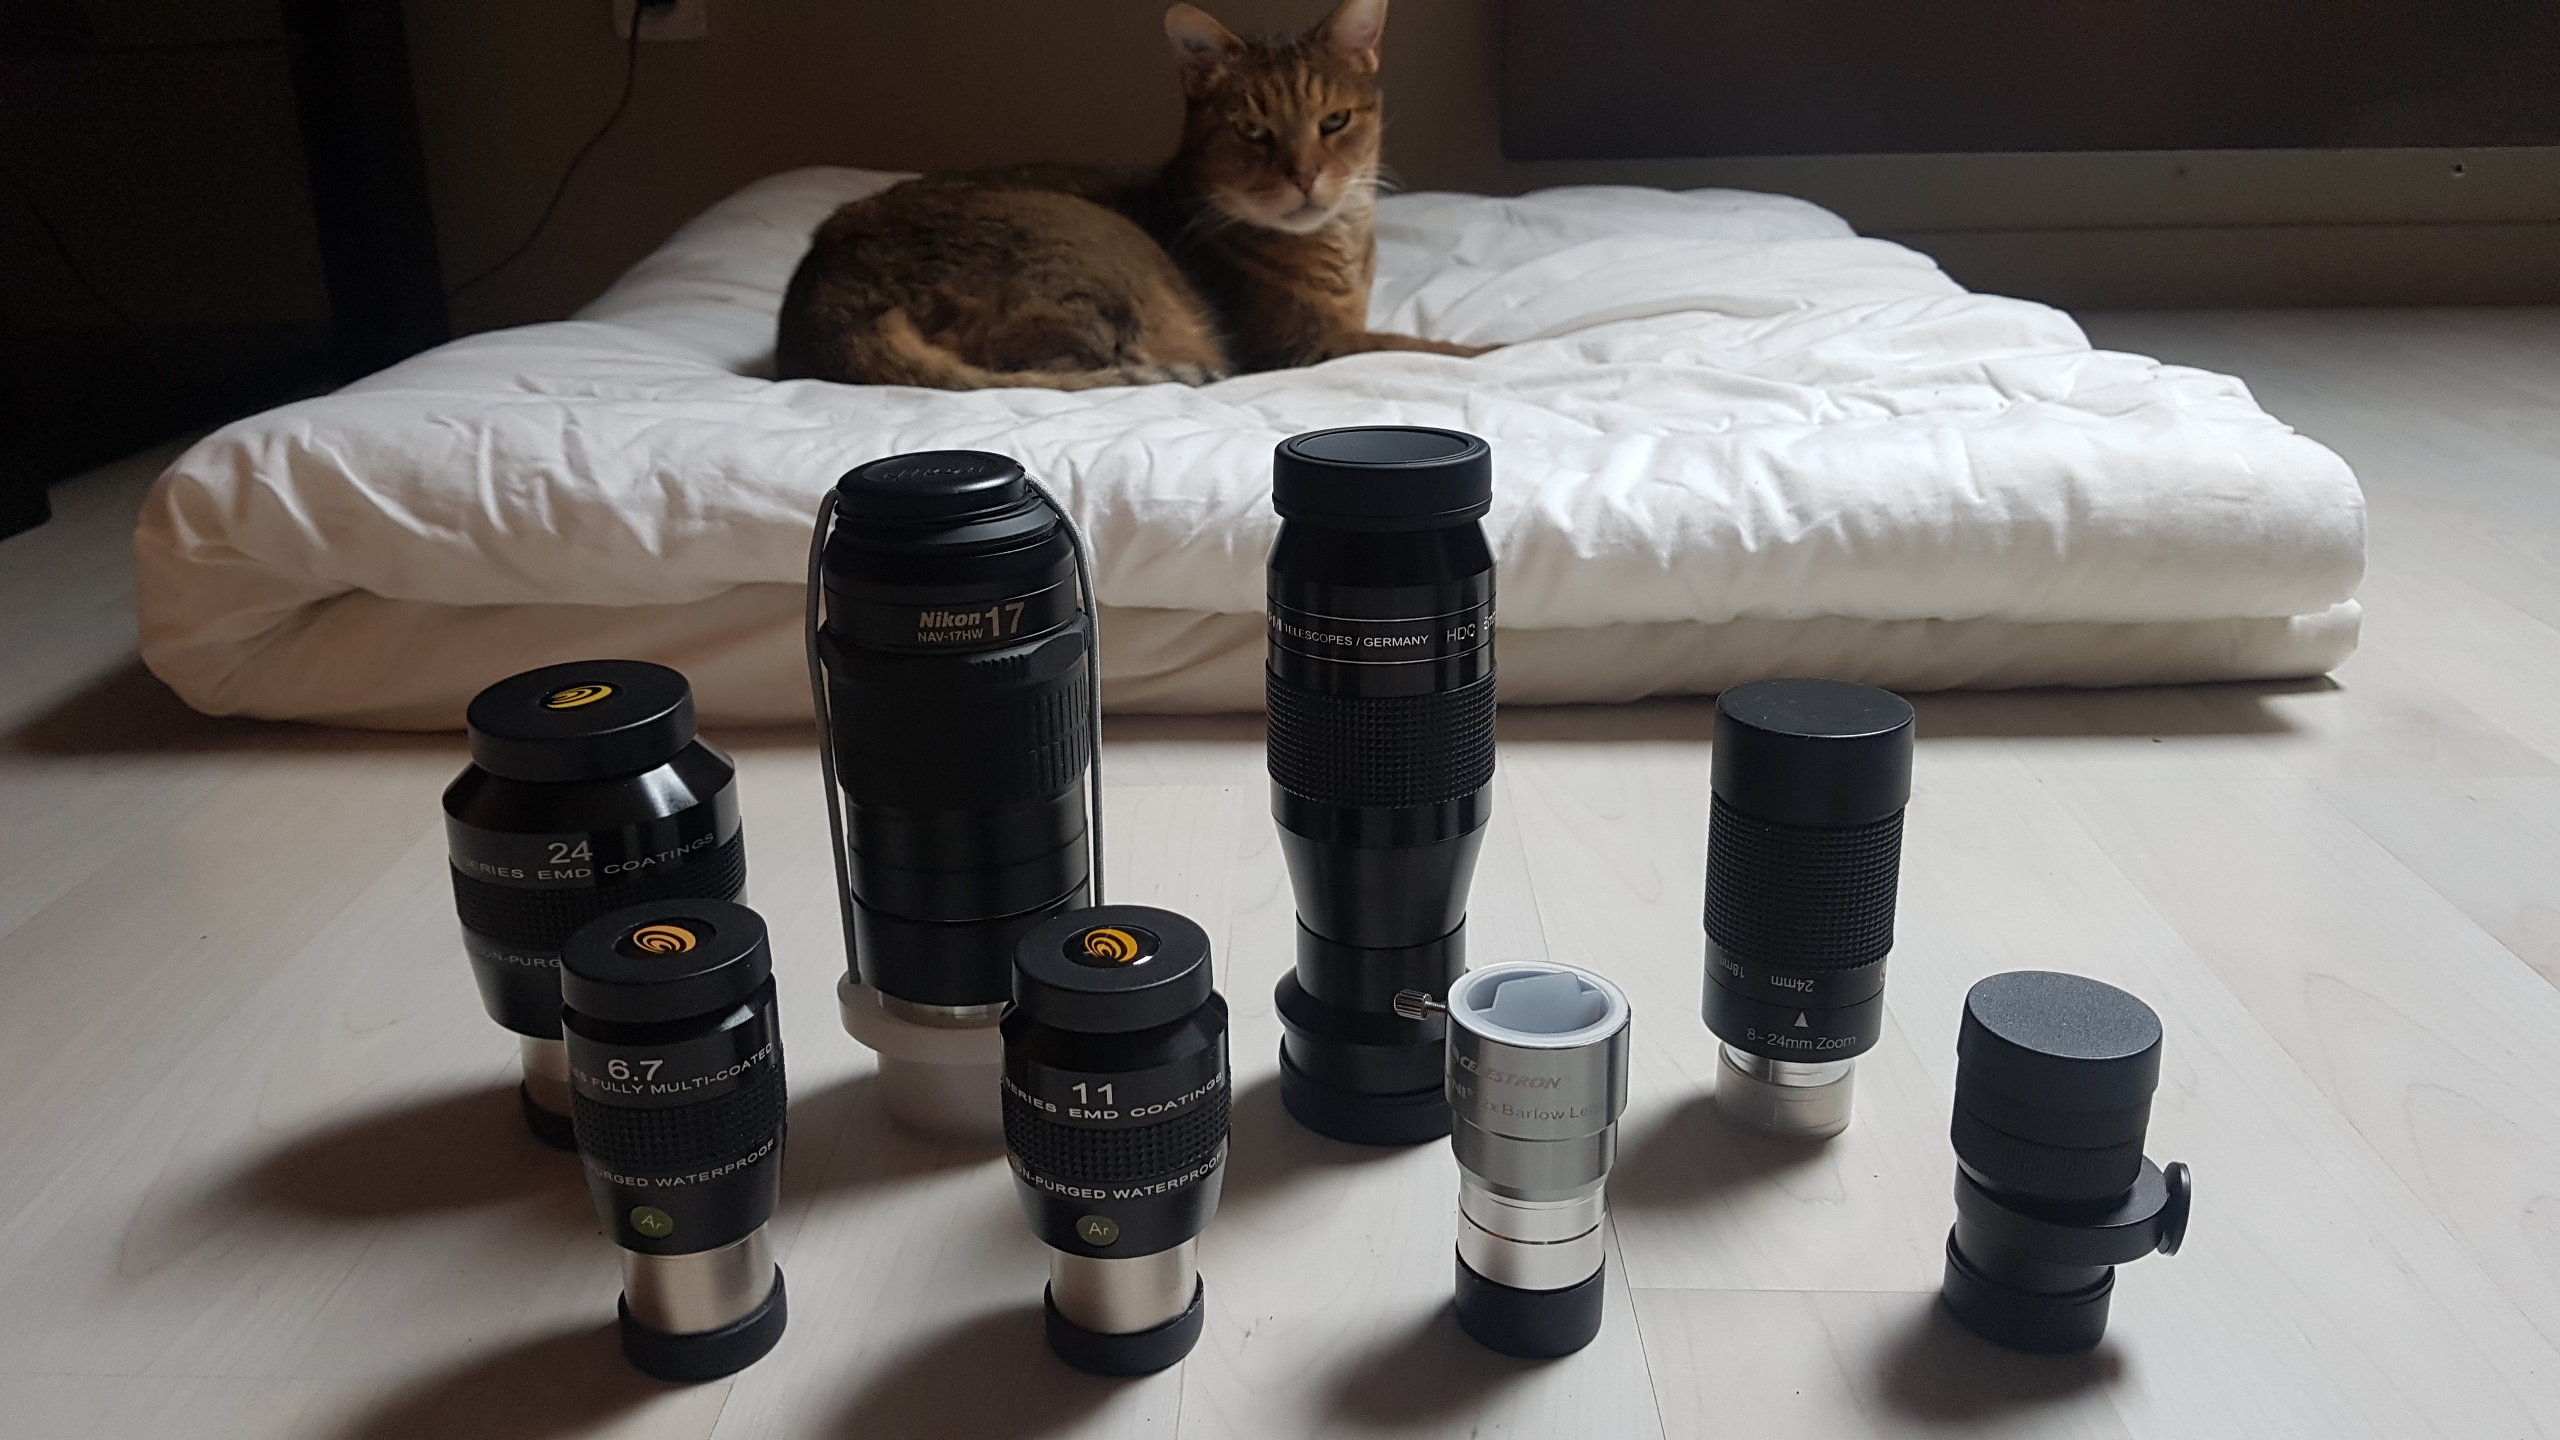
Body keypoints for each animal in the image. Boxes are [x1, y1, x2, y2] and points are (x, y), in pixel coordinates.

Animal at [774, 0, 1482, 390]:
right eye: (1253, 131)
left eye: (1334, 121)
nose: (1305, 176)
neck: (1341, 244)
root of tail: (825, 309)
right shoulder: (1299, 350)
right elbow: (1428, 348)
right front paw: (1496, 352)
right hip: (1086, 250)